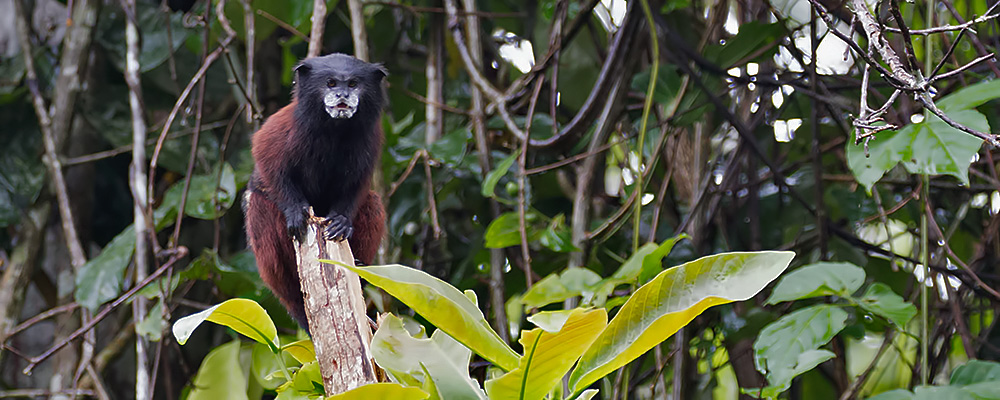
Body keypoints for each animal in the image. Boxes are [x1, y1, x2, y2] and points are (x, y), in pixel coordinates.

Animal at [244, 54, 388, 328]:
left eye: (353, 84)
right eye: (331, 83)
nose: (342, 95)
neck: (334, 130)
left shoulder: (372, 139)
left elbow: (359, 185)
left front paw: (341, 221)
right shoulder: (284, 125)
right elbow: (267, 160)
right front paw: (296, 212)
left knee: (373, 201)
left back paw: (360, 266)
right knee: (257, 204)